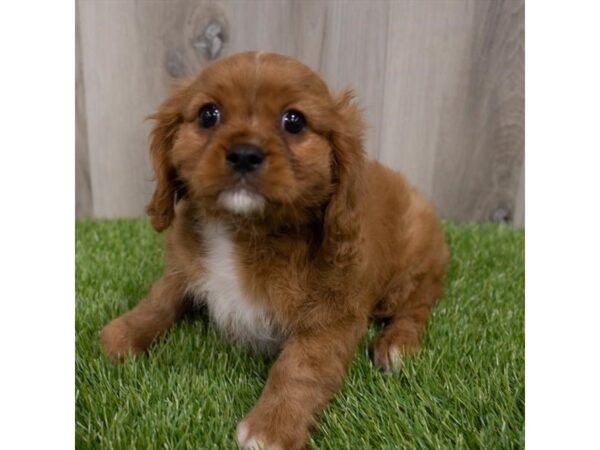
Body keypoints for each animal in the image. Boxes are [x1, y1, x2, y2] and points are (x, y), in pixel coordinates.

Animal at [102, 51, 450, 448]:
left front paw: (273, 425)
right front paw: (123, 333)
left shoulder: (334, 313)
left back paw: (396, 343)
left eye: (294, 121)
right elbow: (160, 298)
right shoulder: (185, 266)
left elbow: (301, 366)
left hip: (410, 272)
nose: (244, 154)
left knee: (418, 304)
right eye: (208, 114)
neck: (244, 230)